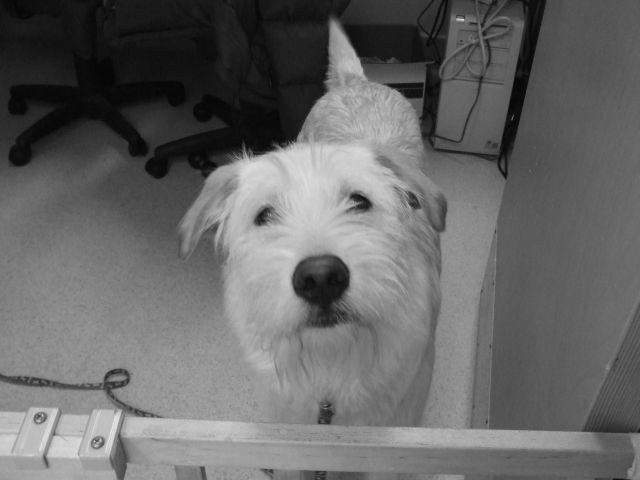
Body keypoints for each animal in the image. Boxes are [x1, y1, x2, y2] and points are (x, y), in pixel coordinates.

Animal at [179, 18, 446, 475]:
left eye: (359, 201)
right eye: (265, 215)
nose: (320, 277)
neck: (331, 371)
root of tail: (356, 82)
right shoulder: (293, 445)